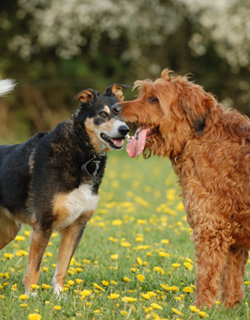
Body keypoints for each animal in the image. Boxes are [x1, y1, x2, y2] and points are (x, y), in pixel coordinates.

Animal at [0, 82, 129, 292]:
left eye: (121, 114)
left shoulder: (76, 227)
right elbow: (34, 269)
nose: (124, 130)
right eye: (103, 114)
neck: (82, 153)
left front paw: (59, 295)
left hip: (7, 231)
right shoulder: (43, 225)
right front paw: (30, 297)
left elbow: (61, 269)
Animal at [112, 69, 250, 308]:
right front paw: (228, 309)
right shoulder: (234, 240)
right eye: (142, 94)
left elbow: (206, 275)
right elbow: (232, 283)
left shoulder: (210, 228)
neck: (197, 137)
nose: (114, 108)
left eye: (153, 99)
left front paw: (200, 308)